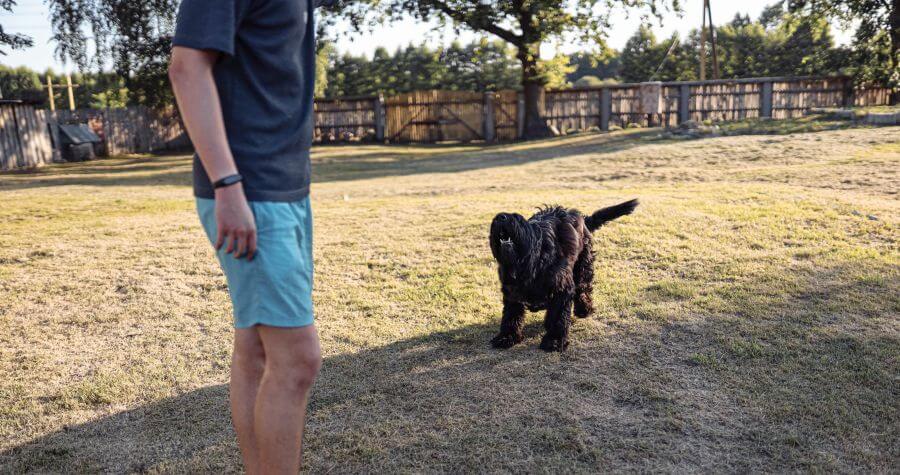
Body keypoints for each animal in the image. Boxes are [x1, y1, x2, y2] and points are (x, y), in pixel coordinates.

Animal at [488, 199, 636, 352]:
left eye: (517, 218)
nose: (500, 217)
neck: (530, 263)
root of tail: (583, 218)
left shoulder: (561, 289)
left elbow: (557, 317)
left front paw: (554, 340)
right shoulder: (512, 293)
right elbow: (510, 316)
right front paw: (506, 337)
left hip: (583, 267)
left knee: (583, 289)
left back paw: (584, 309)